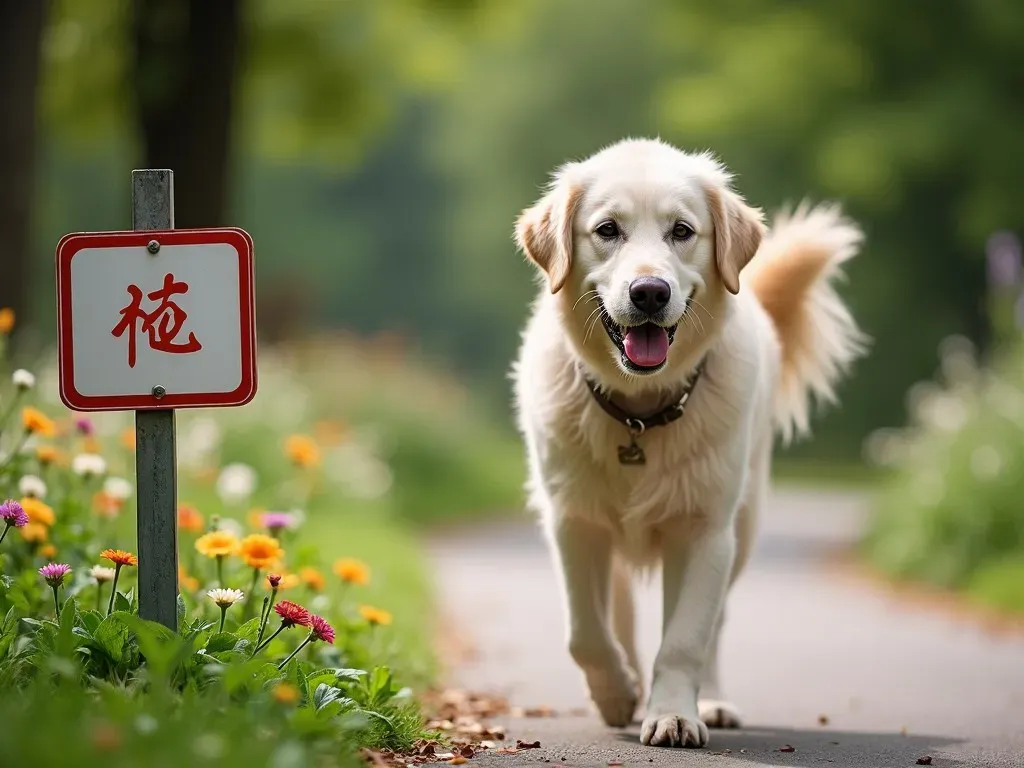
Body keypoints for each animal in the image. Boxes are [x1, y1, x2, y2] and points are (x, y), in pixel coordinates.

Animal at [509, 135, 864, 749]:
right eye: (607, 230)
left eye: (681, 230)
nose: (650, 292)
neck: (639, 416)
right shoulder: (573, 521)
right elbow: (586, 631)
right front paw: (616, 693)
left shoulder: (704, 529)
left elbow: (684, 639)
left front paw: (673, 714)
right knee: (618, 616)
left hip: (741, 527)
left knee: (715, 623)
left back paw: (711, 702)